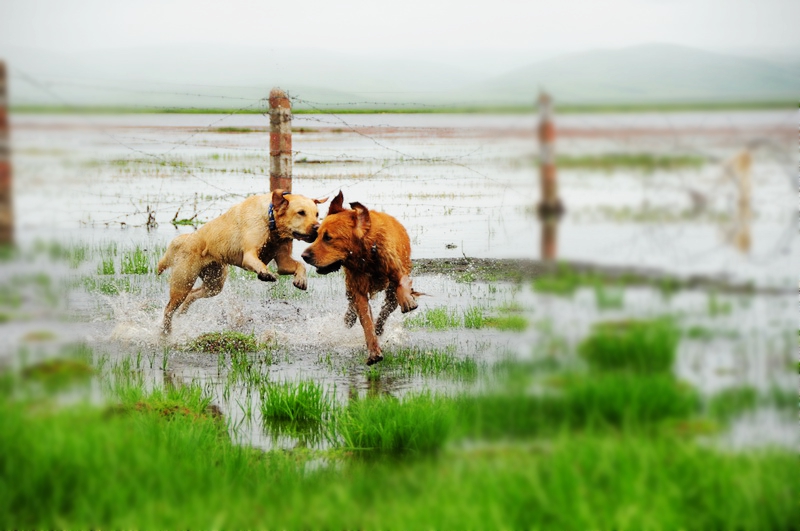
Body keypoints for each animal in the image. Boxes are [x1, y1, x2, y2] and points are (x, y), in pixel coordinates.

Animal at [156, 189, 324, 334]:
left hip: (214, 283)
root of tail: (184, 240)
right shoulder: (249, 255)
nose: (317, 227)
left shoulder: (283, 261)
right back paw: (165, 332)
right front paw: (265, 273)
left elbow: (300, 265)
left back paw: (182, 314)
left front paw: (301, 280)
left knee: (192, 295)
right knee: (169, 308)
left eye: (316, 214)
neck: (270, 220)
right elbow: (259, 264)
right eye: (301, 212)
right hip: (183, 282)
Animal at [304, 192, 422, 366]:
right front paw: (374, 352)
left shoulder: (395, 269)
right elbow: (366, 321)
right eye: (317, 235)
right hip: (349, 285)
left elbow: (401, 283)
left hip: (390, 294)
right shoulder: (358, 288)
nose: (303, 256)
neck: (367, 257)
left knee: (386, 309)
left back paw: (380, 326)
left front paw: (407, 300)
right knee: (352, 303)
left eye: (328, 237)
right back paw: (350, 318)